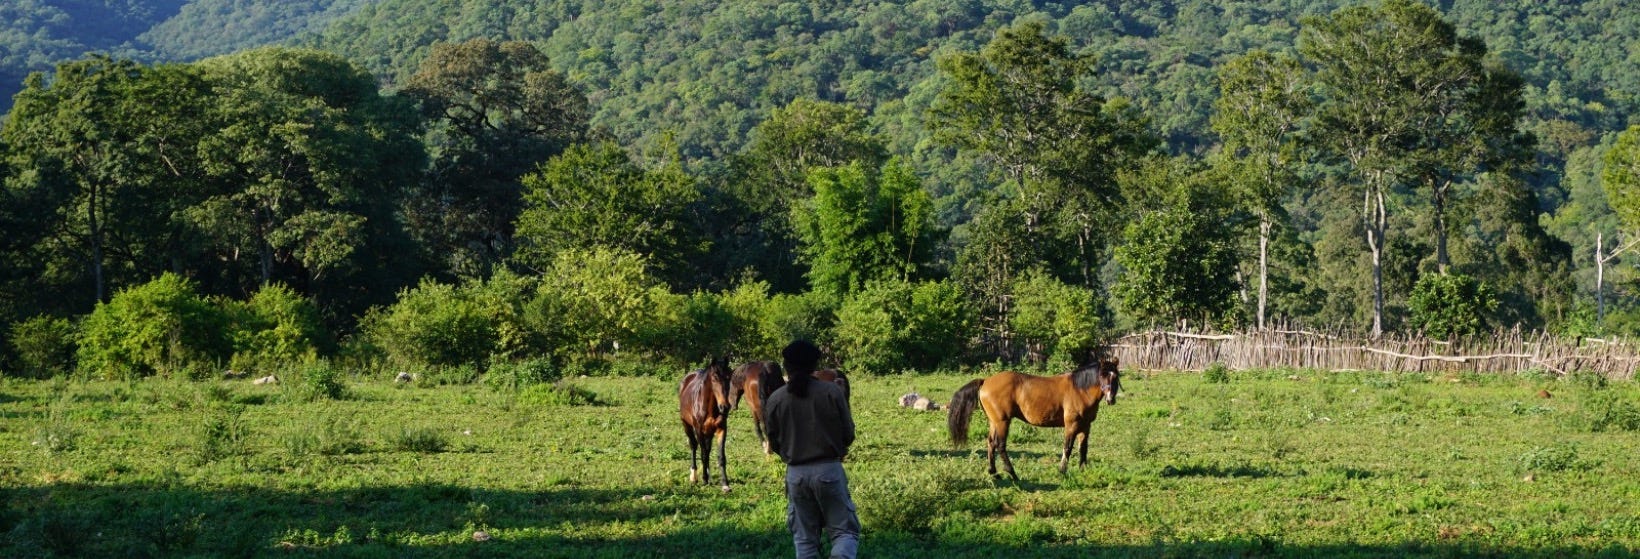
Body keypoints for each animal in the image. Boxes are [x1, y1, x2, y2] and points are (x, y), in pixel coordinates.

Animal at [675, 354, 734, 488]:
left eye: (729, 377)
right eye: (714, 378)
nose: (725, 407)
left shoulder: (721, 429)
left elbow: (720, 456)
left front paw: (725, 484)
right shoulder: (699, 430)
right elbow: (703, 454)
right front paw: (704, 479)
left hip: (709, 431)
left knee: (707, 449)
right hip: (686, 425)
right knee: (694, 446)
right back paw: (694, 476)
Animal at [944, 357, 1121, 478]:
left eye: (1116, 376)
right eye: (1103, 375)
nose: (1111, 399)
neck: (1079, 390)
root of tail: (985, 381)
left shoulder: (1086, 427)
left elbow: (1083, 449)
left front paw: (1083, 470)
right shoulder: (1071, 425)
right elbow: (1068, 448)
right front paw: (1062, 471)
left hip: (994, 421)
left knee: (990, 443)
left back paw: (993, 472)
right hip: (1003, 422)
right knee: (1000, 445)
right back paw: (1012, 474)